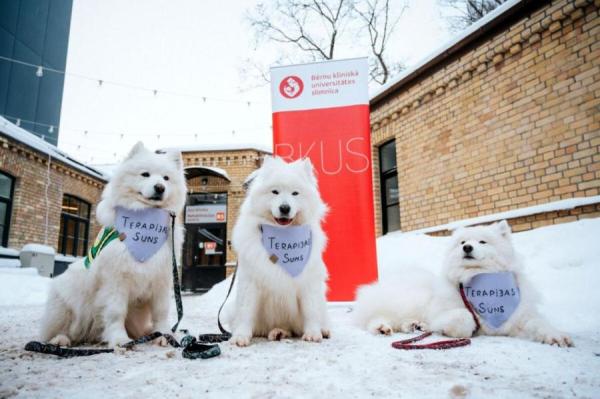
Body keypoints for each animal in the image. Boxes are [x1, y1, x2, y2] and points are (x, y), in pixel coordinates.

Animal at [39, 144, 185, 350]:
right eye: (145, 174)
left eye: (166, 178)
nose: (159, 187)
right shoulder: (116, 280)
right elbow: (116, 312)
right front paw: (119, 340)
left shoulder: (161, 280)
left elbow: (161, 312)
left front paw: (164, 335)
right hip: (66, 300)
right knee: (59, 329)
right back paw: (60, 339)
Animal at [230, 156, 330, 346]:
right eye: (275, 192)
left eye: (295, 193)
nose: (285, 208)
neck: (283, 235)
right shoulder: (250, 281)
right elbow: (246, 311)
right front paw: (240, 336)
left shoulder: (308, 281)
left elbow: (311, 310)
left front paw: (313, 333)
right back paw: (277, 332)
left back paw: (322, 329)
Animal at [354, 220, 576, 348]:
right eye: (462, 243)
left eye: (482, 242)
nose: (467, 247)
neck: (479, 277)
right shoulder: (446, 312)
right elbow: (464, 317)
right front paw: (452, 330)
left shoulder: (519, 317)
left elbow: (539, 323)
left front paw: (557, 336)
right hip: (405, 301)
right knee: (376, 317)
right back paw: (382, 327)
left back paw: (415, 325)